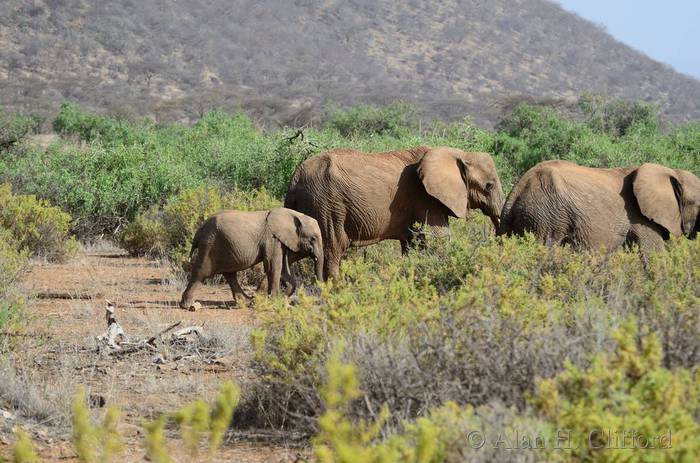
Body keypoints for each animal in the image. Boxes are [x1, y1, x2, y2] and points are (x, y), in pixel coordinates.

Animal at [179, 208, 323, 309]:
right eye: (313, 238)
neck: (295, 215)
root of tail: (201, 228)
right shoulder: (272, 239)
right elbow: (273, 266)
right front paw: (275, 302)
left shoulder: (279, 242)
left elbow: (281, 268)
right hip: (210, 244)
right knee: (202, 272)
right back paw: (187, 305)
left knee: (229, 273)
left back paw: (247, 302)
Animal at [284, 146, 505, 280]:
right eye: (489, 185)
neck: (459, 153)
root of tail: (295, 179)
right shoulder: (425, 198)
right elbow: (439, 238)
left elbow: (413, 244)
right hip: (327, 207)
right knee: (331, 252)